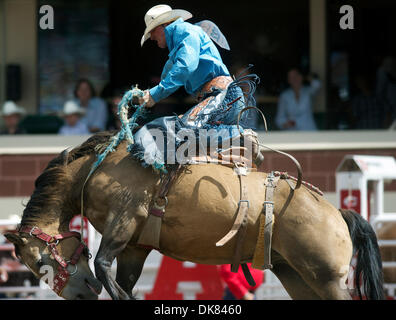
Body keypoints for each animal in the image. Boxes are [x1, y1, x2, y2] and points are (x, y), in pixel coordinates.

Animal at [3, 132, 384, 300]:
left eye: (41, 264)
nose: (80, 295)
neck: (90, 171)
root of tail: (337, 212)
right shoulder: (135, 247)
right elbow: (121, 279)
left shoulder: (123, 222)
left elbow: (102, 265)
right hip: (297, 276)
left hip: (327, 279)